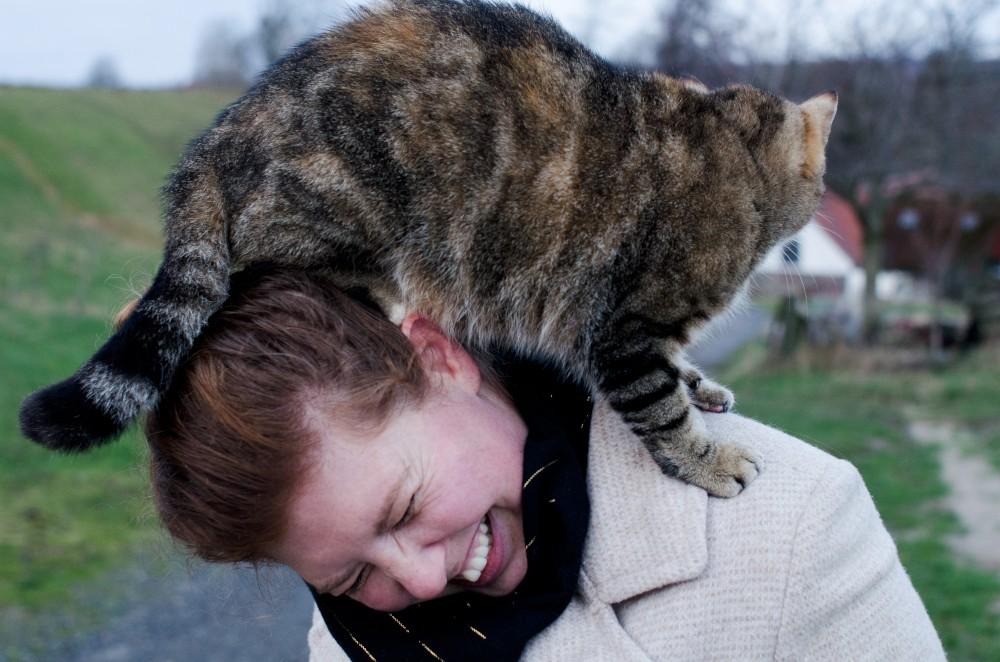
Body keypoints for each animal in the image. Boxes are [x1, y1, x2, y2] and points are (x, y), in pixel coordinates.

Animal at [19, 0, 836, 497]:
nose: (822, 203)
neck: (728, 143)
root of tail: (214, 141)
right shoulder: (626, 328)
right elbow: (660, 409)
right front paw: (709, 460)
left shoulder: (624, 333)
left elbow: (677, 380)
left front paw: (702, 386)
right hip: (351, 204)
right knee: (271, 264)